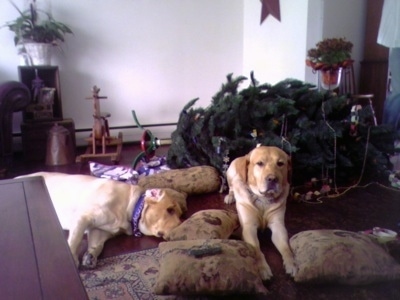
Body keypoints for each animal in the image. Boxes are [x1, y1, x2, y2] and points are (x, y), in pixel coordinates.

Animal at [16, 172, 188, 268]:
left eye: (180, 214)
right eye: (170, 210)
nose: (183, 224)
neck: (130, 209)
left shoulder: (99, 230)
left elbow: (97, 245)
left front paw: (90, 256)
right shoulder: (83, 217)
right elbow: (75, 240)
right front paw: (72, 259)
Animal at [225, 145, 296, 282]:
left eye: (280, 163)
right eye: (259, 163)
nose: (272, 179)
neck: (263, 199)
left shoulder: (278, 226)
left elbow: (286, 247)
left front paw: (291, 263)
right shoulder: (249, 227)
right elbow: (256, 249)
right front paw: (263, 268)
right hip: (230, 173)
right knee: (231, 187)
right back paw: (230, 196)